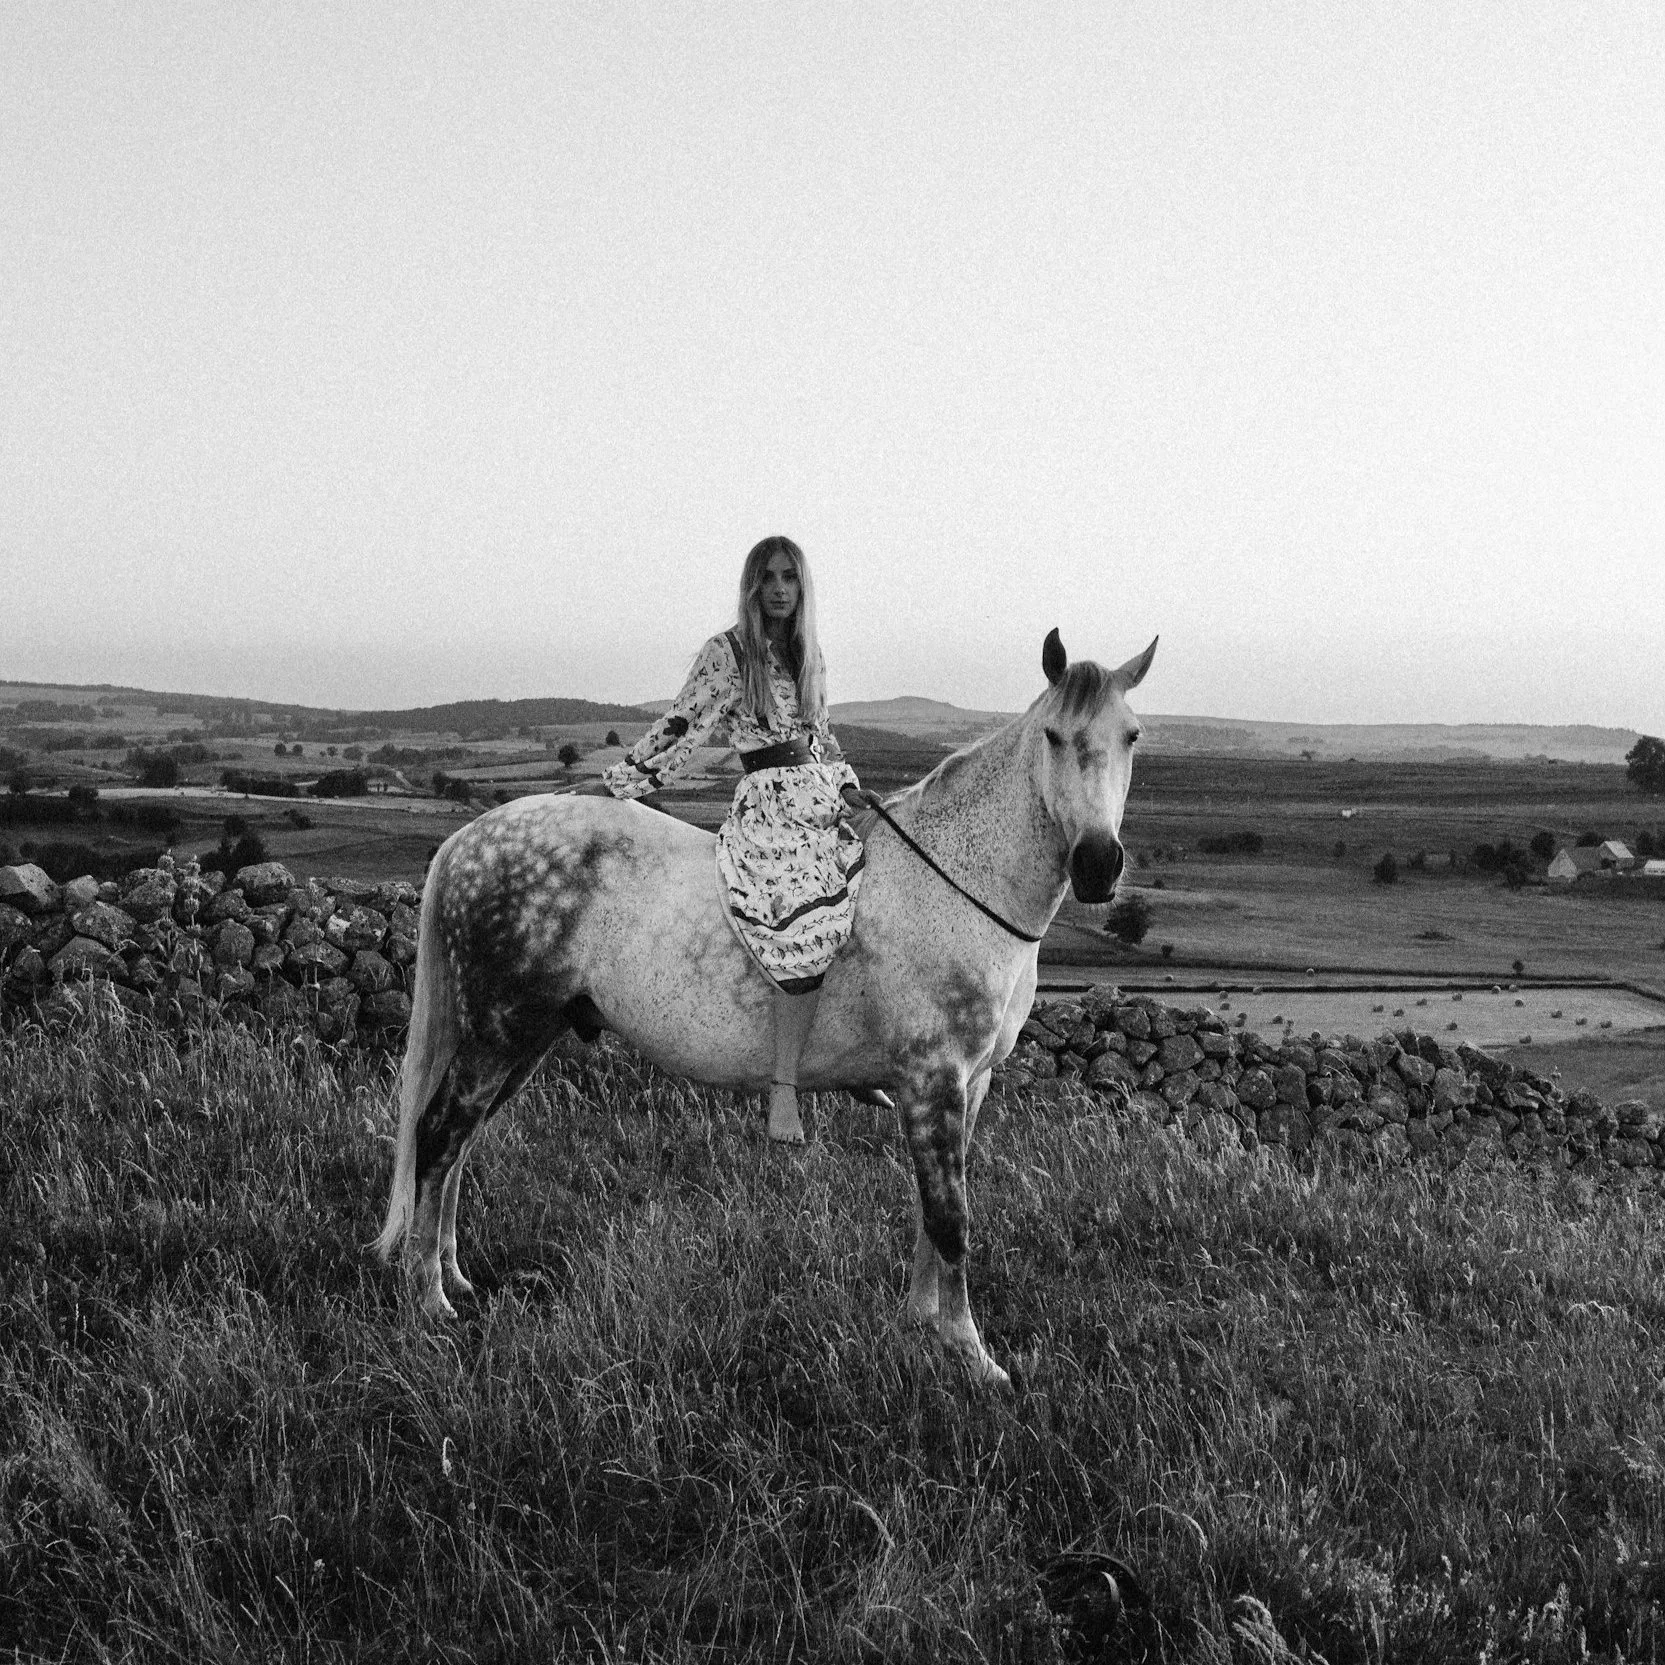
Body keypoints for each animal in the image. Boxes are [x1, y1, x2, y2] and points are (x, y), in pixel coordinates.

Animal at [375, 627, 1157, 1387]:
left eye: (1131, 735)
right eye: (1053, 735)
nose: (1098, 864)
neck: (956, 880)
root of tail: (469, 839)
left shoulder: (967, 1086)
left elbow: (928, 1212)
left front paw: (920, 1324)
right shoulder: (934, 1081)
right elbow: (950, 1218)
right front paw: (971, 1354)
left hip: (521, 1040)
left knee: (459, 1145)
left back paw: (454, 1275)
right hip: (498, 1036)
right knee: (439, 1135)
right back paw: (429, 1299)